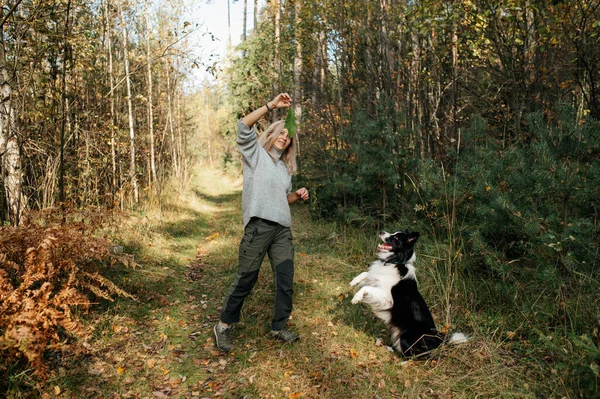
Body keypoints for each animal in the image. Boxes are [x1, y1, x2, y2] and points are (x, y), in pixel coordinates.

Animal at [350, 230, 466, 358]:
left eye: (396, 237)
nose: (381, 231)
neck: (396, 261)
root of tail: (439, 340)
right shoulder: (377, 280)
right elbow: (366, 274)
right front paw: (354, 281)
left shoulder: (387, 298)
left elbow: (365, 287)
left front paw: (356, 297)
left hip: (405, 337)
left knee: (415, 356)